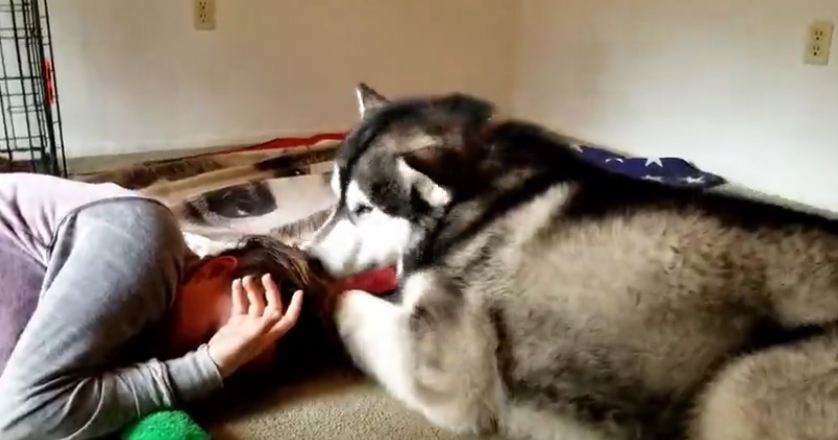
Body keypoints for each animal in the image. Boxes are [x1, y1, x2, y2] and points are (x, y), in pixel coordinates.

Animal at [306, 83, 838, 440]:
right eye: (334, 197)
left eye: (364, 209)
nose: (309, 260)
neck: (473, 202)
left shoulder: (452, 376)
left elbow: (351, 301)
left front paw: (325, 300)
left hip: (739, 386)